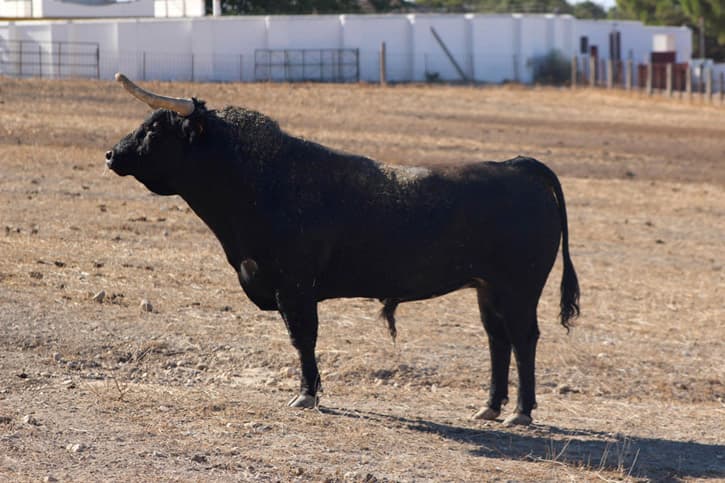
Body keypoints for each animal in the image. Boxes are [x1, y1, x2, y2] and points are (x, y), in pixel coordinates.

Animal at [106, 96, 576, 426]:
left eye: (154, 130)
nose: (111, 154)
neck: (261, 181)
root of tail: (516, 166)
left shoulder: (294, 287)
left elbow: (303, 339)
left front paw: (307, 394)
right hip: (487, 289)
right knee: (498, 340)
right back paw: (489, 406)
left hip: (519, 289)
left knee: (523, 339)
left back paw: (521, 411)